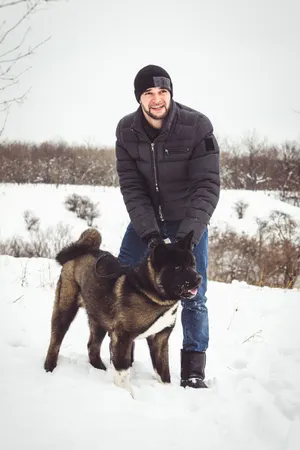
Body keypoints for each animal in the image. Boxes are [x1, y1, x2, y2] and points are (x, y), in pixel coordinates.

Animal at [44, 229, 202, 390]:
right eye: (177, 267)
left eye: (192, 264)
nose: (199, 279)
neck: (150, 292)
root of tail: (81, 252)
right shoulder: (123, 336)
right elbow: (122, 373)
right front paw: (125, 393)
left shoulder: (160, 339)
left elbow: (164, 374)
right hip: (65, 310)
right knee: (55, 341)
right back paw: (49, 368)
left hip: (99, 319)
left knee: (92, 347)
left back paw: (100, 369)